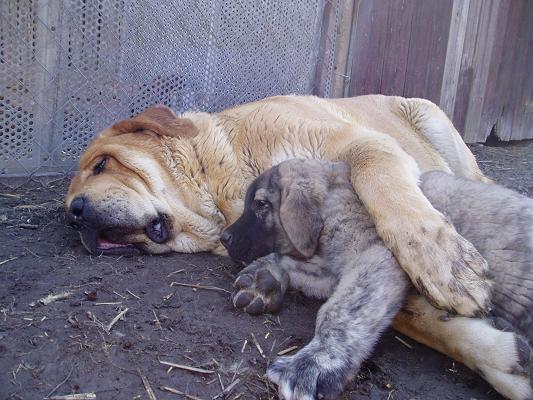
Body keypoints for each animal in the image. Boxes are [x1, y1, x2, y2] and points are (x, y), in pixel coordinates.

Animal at [65, 94, 490, 316]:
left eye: (101, 164)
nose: (75, 215)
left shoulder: (364, 144)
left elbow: (385, 188)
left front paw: (445, 262)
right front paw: (265, 279)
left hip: (431, 119)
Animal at [218, 159, 528, 400]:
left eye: (260, 204)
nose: (224, 238)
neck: (331, 204)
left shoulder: (376, 253)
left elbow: (340, 310)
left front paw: (315, 362)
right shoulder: (330, 269)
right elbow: (291, 263)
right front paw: (262, 277)